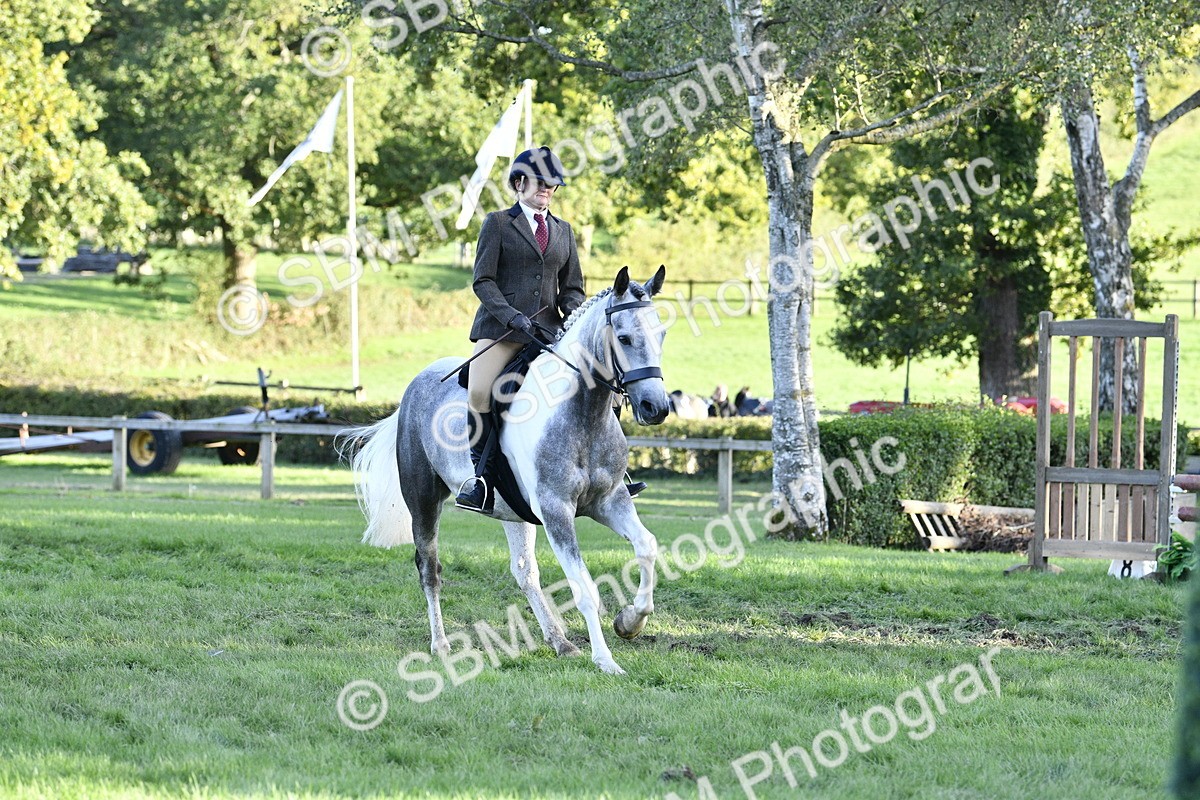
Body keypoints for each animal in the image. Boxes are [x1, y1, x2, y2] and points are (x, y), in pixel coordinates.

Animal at [343, 266, 671, 675]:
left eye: (661, 334)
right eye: (624, 338)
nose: (656, 407)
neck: (583, 414)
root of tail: (416, 384)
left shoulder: (611, 501)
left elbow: (647, 546)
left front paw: (630, 622)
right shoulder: (556, 511)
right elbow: (584, 586)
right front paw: (606, 660)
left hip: (513, 511)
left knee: (524, 571)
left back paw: (560, 641)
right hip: (423, 501)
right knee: (429, 569)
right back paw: (441, 644)